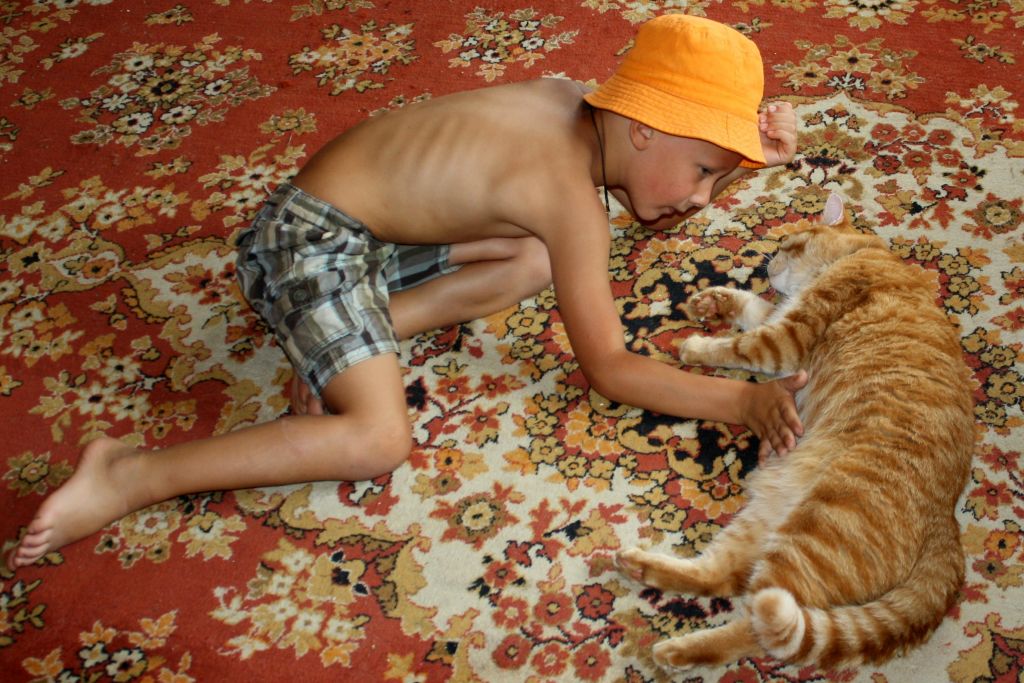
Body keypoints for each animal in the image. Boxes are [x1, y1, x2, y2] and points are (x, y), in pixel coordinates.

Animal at [617, 193, 975, 670]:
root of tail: (946, 522)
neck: (862, 253)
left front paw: (697, 344)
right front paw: (715, 301)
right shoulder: (782, 319)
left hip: (812, 536)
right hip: (769, 515)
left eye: (786, 243)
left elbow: (737, 345)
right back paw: (641, 570)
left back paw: (676, 650)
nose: (769, 262)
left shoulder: (785, 339)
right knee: (721, 577)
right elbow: (754, 307)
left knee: (761, 623)